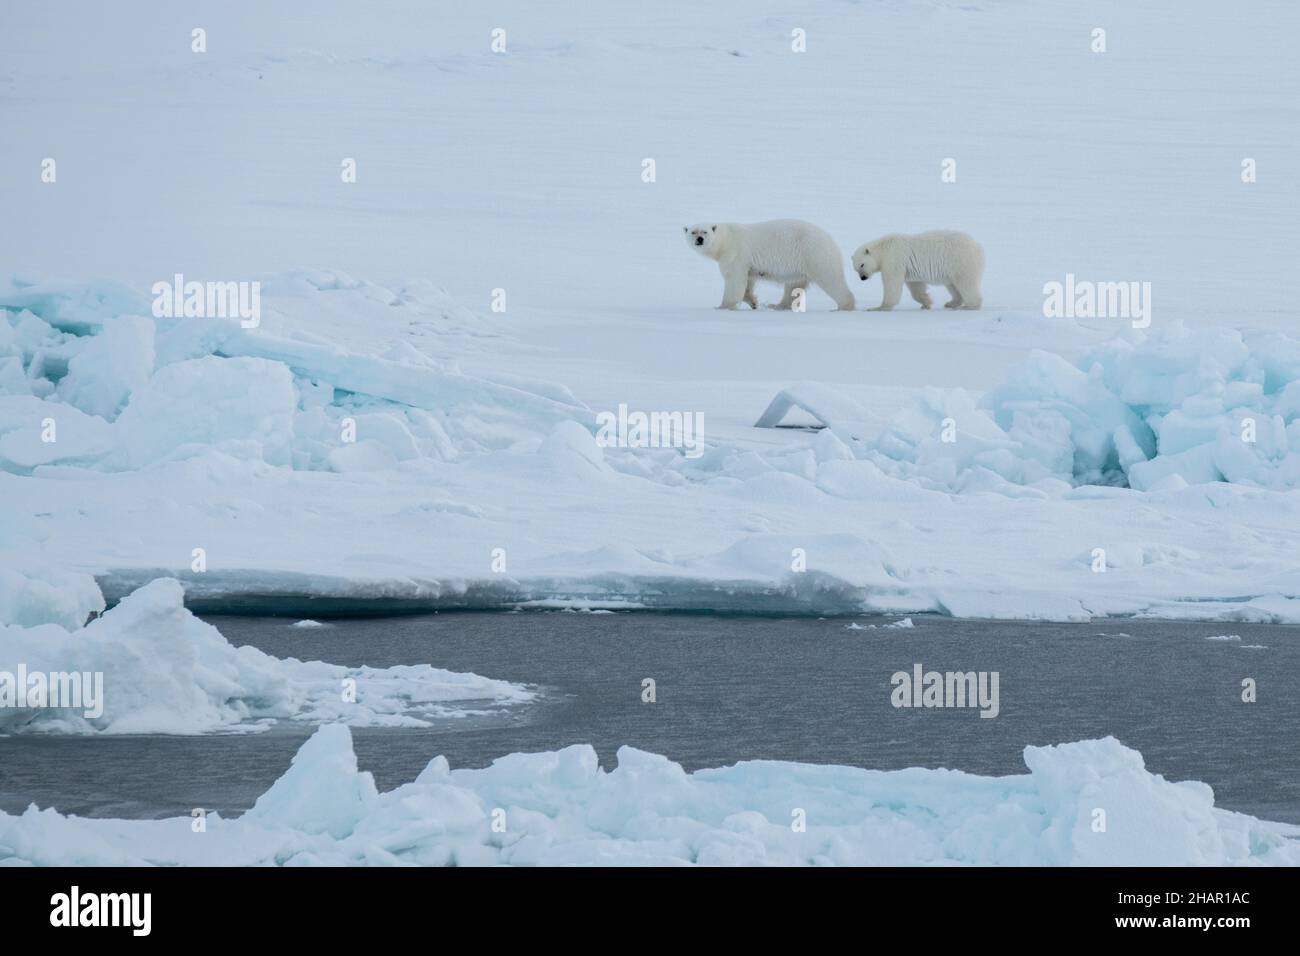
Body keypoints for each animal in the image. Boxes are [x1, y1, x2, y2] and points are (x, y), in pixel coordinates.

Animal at [685, 219, 856, 311]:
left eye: (704, 232)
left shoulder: (735, 254)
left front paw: (723, 306)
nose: (699, 239)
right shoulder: (746, 263)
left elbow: (734, 280)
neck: (726, 239)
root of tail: (832, 241)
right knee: (793, 286)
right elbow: (748, 281)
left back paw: (844, 306)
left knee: (831, 279)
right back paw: (777, 305)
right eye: (693, 232)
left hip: (815, 255)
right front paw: (753, 302)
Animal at [851, 230, 984, 311]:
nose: (863, 278)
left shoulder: (894, 258)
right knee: (953, 284)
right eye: (856, 269)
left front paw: (878, 307)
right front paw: (926, 303)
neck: (884, 248)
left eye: (862, 265)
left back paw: (969, 306)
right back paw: (951, 303)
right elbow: (916, 286)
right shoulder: (909, 269)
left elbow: (892, 283)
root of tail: (978, 247)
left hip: (960, 261)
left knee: (965, 282)